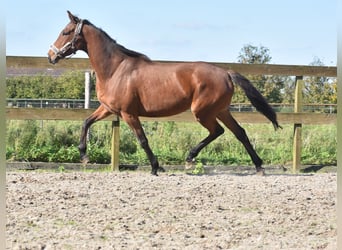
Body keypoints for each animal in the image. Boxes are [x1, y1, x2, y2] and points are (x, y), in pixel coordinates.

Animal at [47, 11, 280, 176]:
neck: (115, 69)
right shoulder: (108, 109)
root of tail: (226, 73)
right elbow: (86, 122)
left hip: (203, 111)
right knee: (239, 132)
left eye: (66, 32)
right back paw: (259, 167)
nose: (51, 55)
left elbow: (142, 140)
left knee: (218, 131)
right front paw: (84, 155)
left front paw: (155, 167)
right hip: (221, 110)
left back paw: (190, 157)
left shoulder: (129, 113)